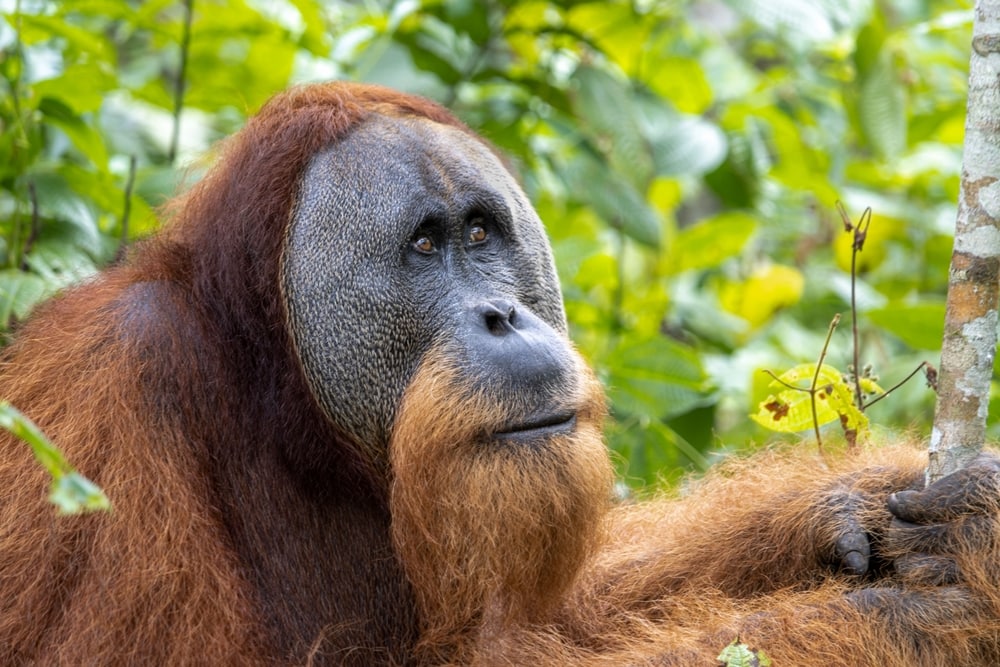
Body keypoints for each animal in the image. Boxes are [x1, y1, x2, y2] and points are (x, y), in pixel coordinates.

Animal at [0, 81, 998, 666]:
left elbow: (555, 605)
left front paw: (854, 506)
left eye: (480, 233)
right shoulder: (97, 417)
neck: (282, 405)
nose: (504, 315)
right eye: (424, 246)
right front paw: (908, 620)